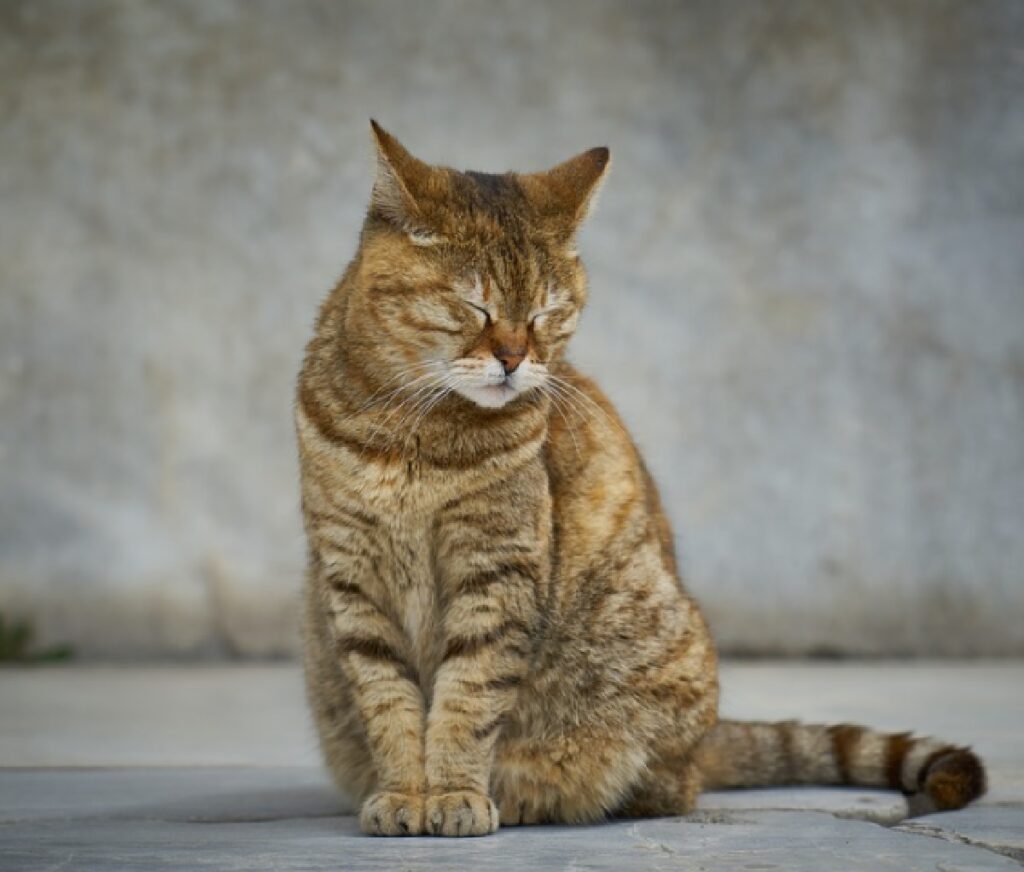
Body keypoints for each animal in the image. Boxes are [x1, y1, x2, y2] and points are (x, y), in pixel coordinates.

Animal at [294, 122, 983, 839]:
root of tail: (709, 739)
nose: (514, 358)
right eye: (473, 306)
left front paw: (455, 791)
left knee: (670, 785)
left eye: (547, 314)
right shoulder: (352, 578)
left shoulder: (497, 571)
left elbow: (469, 695)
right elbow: (387, 700)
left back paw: (537, 794)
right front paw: (404, 792)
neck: (410, 432)